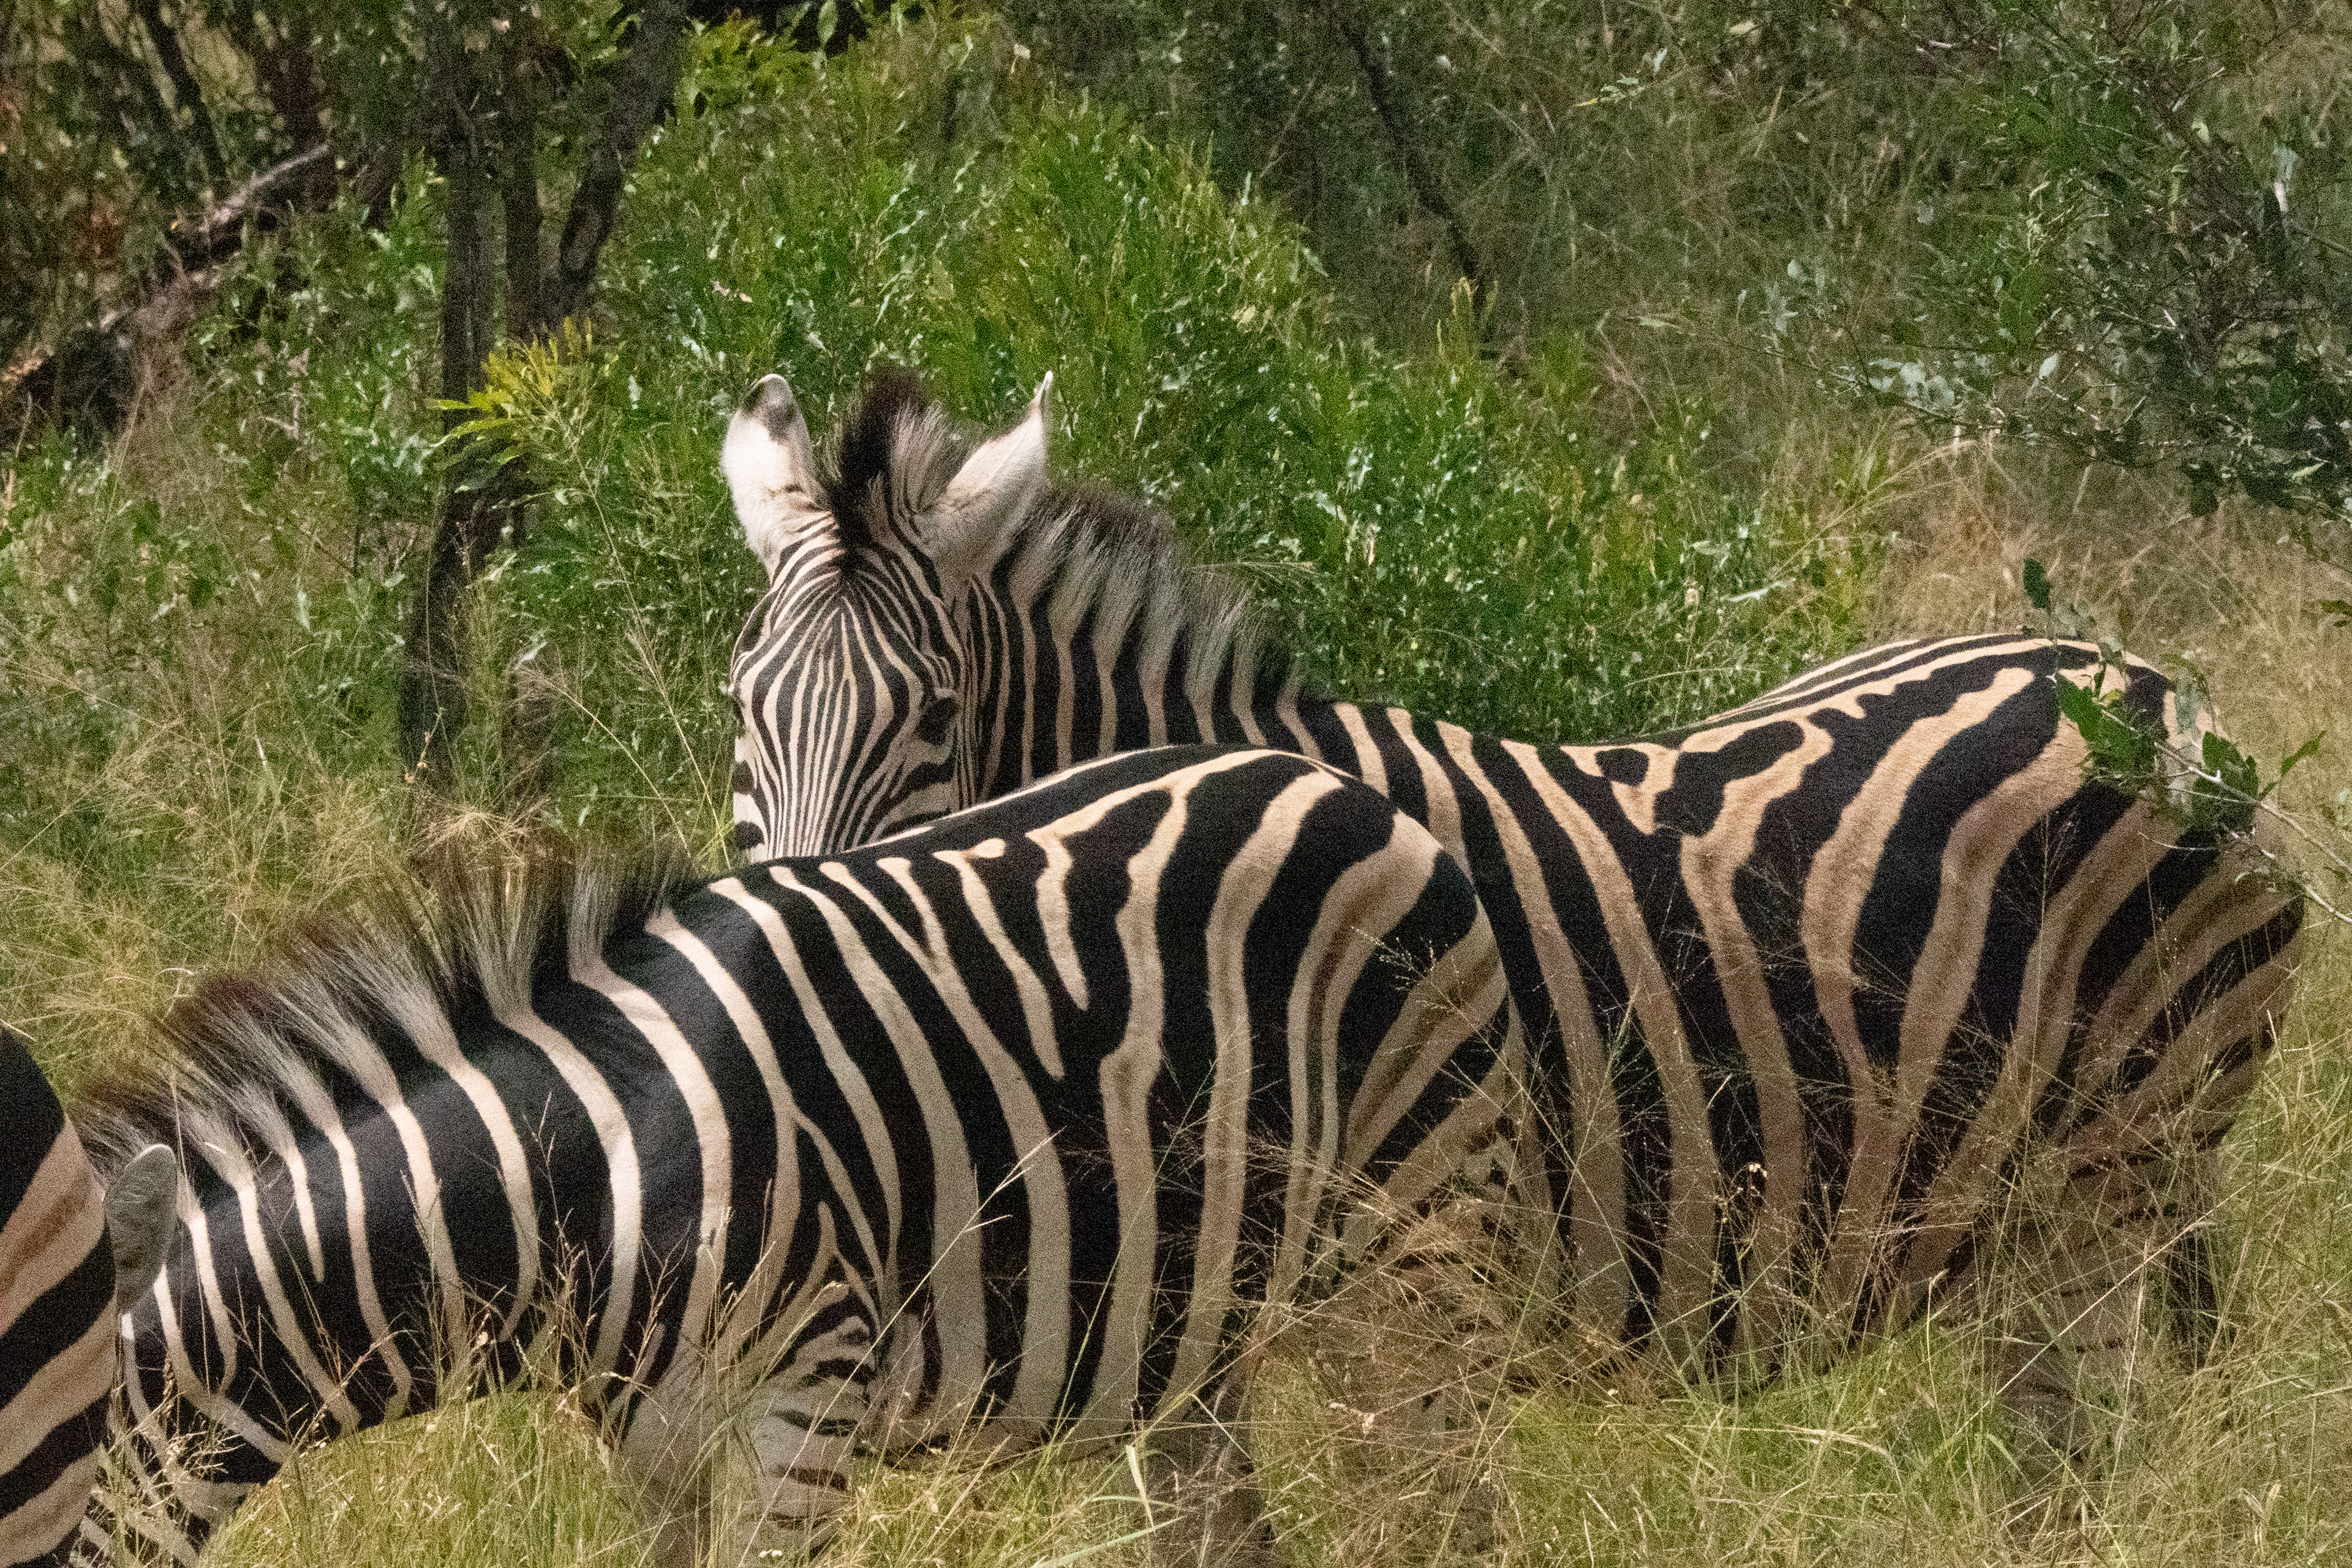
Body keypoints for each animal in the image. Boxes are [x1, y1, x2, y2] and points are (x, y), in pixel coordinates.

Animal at [54, 745, 1520, 1565]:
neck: (592, 1170)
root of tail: (1357, 790)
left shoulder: (808, 1397)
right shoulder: (645, 1438)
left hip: (1420, 1239)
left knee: (1439, 1505)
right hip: (1189, 1327)